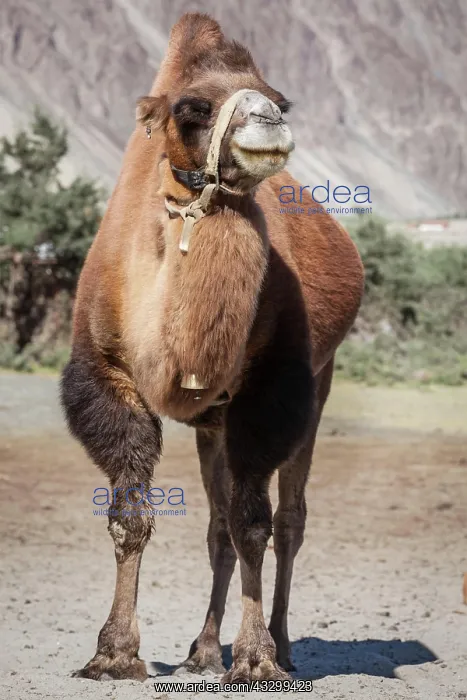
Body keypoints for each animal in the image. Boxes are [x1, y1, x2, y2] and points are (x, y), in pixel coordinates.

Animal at [60, 12, 364, 684]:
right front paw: (113, 653)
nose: (270, 122)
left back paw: (284, 645)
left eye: (280, 99)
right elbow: (132, 518)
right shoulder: (110, 376)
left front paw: (254, 659)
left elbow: (255, 524)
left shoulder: (271, 389)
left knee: (288, 519)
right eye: (192, 107)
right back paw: (201, 649)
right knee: (216, 524)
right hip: (212, 426)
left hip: (319, 383)